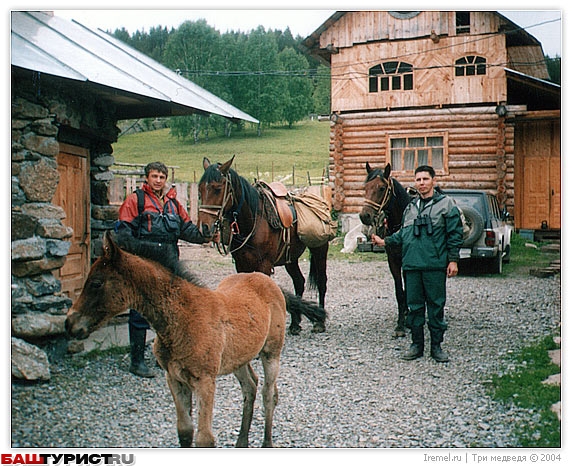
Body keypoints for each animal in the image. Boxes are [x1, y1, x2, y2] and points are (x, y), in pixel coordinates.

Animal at [65, 232, 286, 448]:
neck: (182, 319)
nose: (69, 323)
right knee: (250, 386)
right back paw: (241, 442)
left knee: (269, 394)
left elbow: (204, 439)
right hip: (238, 358)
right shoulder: (174, 378)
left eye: (96, 283)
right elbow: (185, 432)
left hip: (271, 354)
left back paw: (267, 443)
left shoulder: (205, 381)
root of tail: (265, 279)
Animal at [199, 158, 328, 336]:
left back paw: (320, 322)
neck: (252, 220)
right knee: (299, 281)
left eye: (218, 189)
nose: (205, 227)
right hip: (290, 258)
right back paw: (295, 324)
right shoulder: (241, 265)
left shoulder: (264, 265)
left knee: (321, 281)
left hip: (319, 250)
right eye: (199, 189)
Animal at [358, 163, 412, 338]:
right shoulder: (393, 261)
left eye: (381, 188)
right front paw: (401, 324)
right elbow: (399, 292)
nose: (364, 216)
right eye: (365, 187)